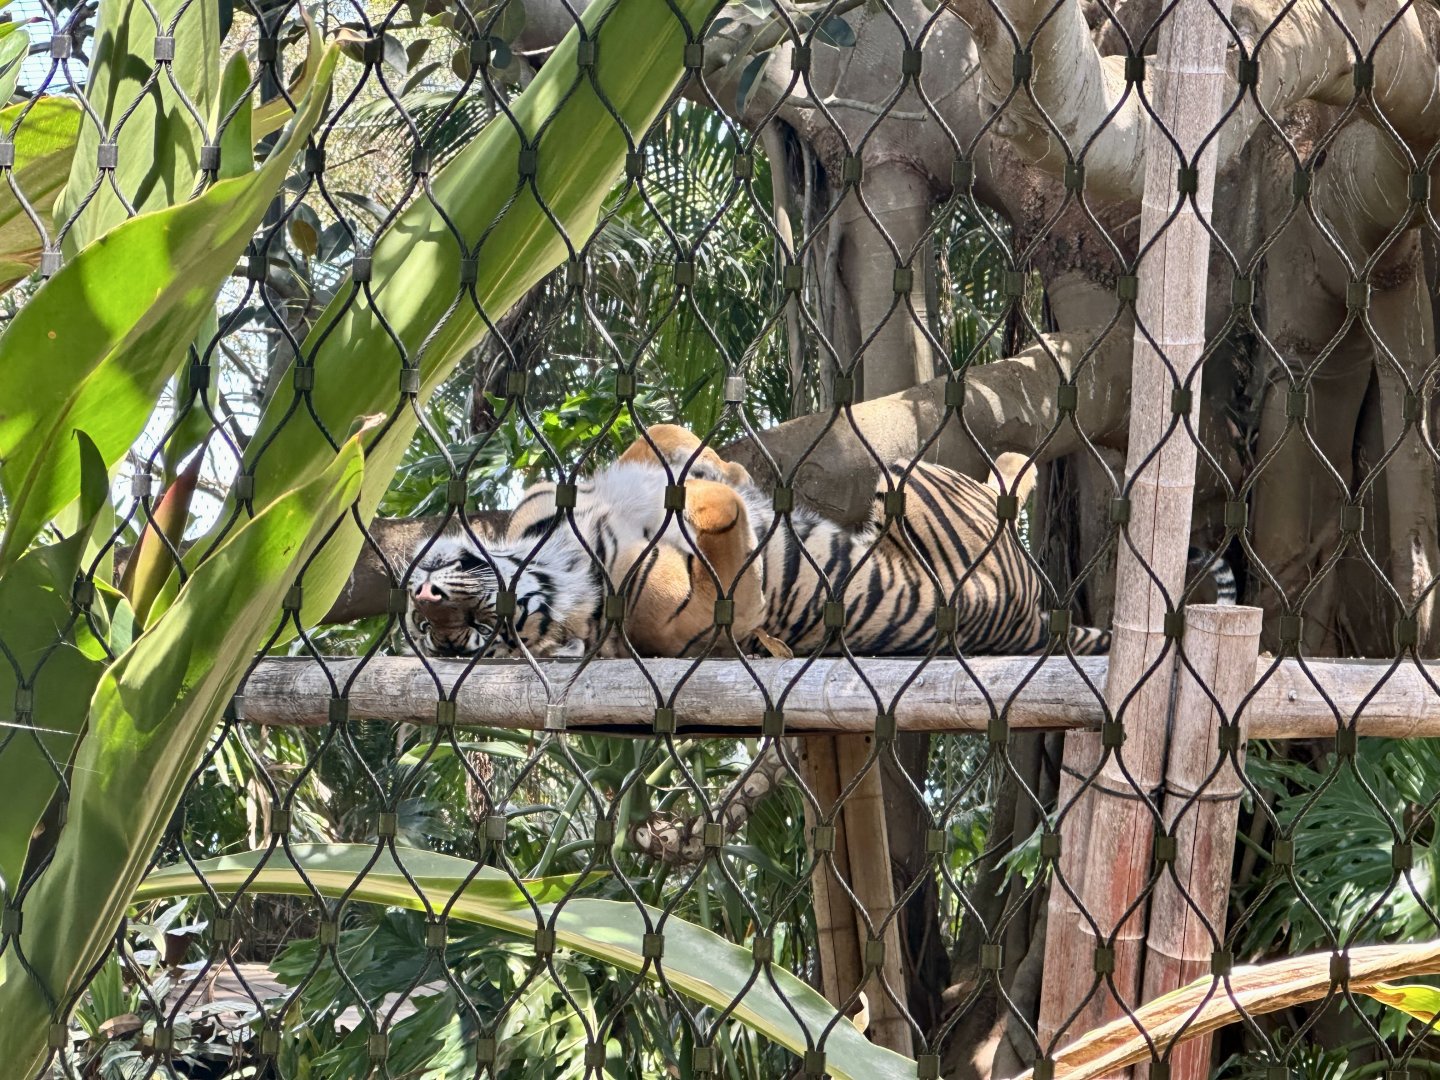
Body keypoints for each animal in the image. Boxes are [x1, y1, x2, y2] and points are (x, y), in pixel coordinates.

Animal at [404, 424, 1112, 660]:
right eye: (473, 636)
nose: (427, 600)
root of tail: (1032, 626)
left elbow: (663, 440)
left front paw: (716, 467)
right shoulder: (708, 611)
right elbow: (720, 522)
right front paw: (709, 491)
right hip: (909, 480)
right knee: (997, 486)